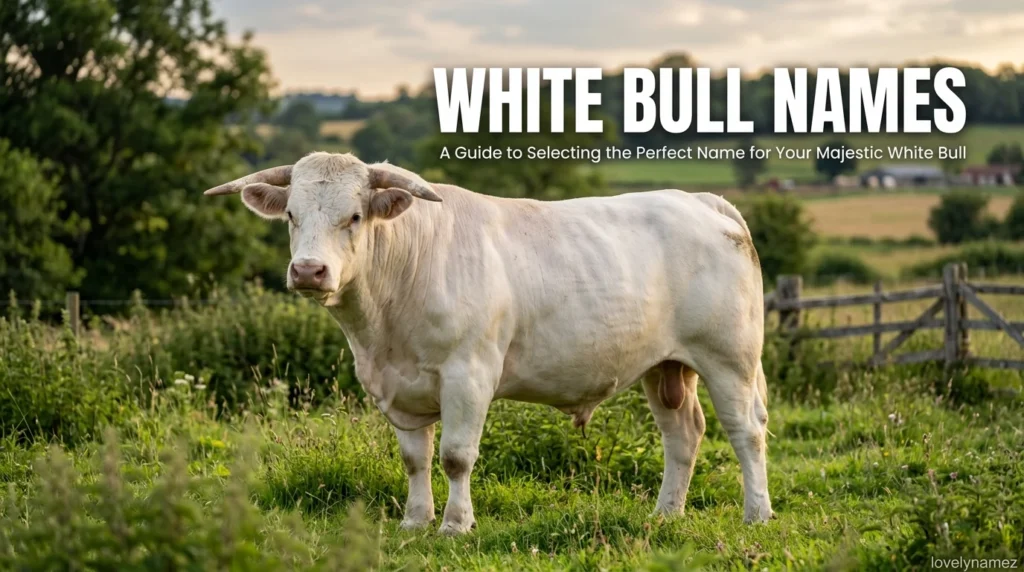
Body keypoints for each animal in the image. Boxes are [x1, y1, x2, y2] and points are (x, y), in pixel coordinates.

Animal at [204, 152, 772, 534]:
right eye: (292, 216)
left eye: (355, 216)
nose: (308, 271)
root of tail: (699, 200)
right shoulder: (397, 386)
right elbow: (414, 459)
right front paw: (415, 521)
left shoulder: (468, 373)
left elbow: (456, 456)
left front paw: (456, 524)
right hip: (666, 366)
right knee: (684, 434)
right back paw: (666, 514)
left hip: (730, 360)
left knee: (746, 433)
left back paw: (757, 513)